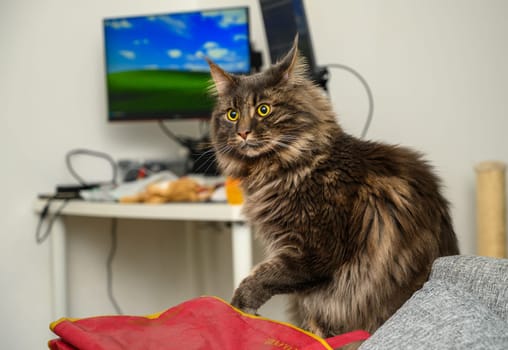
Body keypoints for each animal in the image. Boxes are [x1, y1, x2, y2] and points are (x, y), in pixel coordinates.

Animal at [204, 38, 458, 342]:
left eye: (264, 109)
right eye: (232, 115)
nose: (242, 132)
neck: (281, 170)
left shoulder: (314, 251)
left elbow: (261, 277)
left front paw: (237, 308)